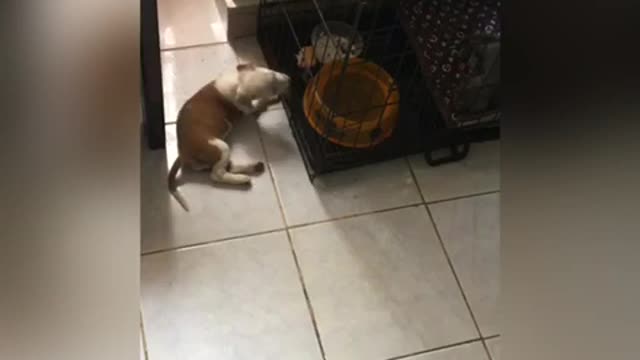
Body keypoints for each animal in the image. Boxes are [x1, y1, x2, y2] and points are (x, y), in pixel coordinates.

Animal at [169, 63, 292, 211]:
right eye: (272, 89)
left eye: (272, 73)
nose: (290, 79)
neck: (237, 82)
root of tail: (182, 154)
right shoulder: (248, 108)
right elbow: (260, 104)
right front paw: (272, 100)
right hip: (221, 147)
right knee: (217, 174)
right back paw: (243, 178)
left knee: (227, 167)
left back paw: (254, 167)